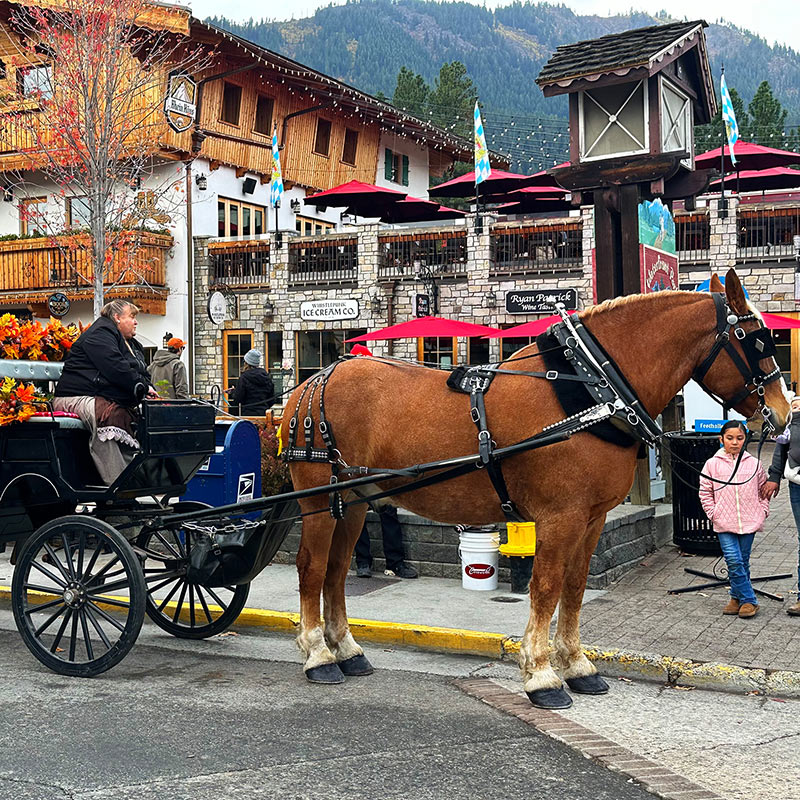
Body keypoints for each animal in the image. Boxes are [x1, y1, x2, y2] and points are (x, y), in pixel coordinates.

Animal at [280, 268, 788, 708]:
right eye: (757, 340)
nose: (784, 414)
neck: (592, 388)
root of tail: (315, 380)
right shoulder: (559, 516)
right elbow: (545, 586)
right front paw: (542, 674)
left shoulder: (592, 517)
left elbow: (575, 586)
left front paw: (577, 665)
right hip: (317, 497)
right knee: (312, 567)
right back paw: (318, 654)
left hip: (352, 500)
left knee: (336, 570)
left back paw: (347, 649)